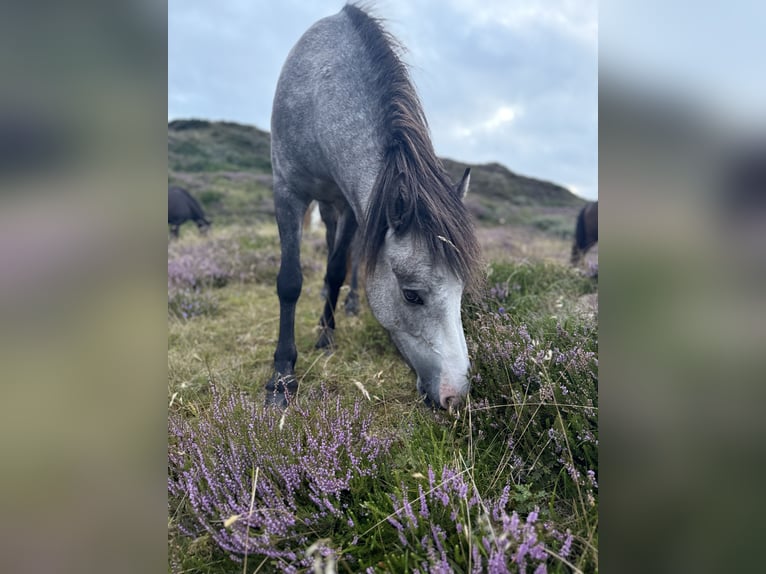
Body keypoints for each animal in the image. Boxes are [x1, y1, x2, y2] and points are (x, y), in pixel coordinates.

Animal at [267, 4, 481, 410]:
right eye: (412, 295)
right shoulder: (286, 191)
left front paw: (326, 336)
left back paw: (346, 305)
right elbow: (289, 281)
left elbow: (337, 269)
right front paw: (281, 377)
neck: (320, 95)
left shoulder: (355, 206)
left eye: (462, 290)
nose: (455, 396)